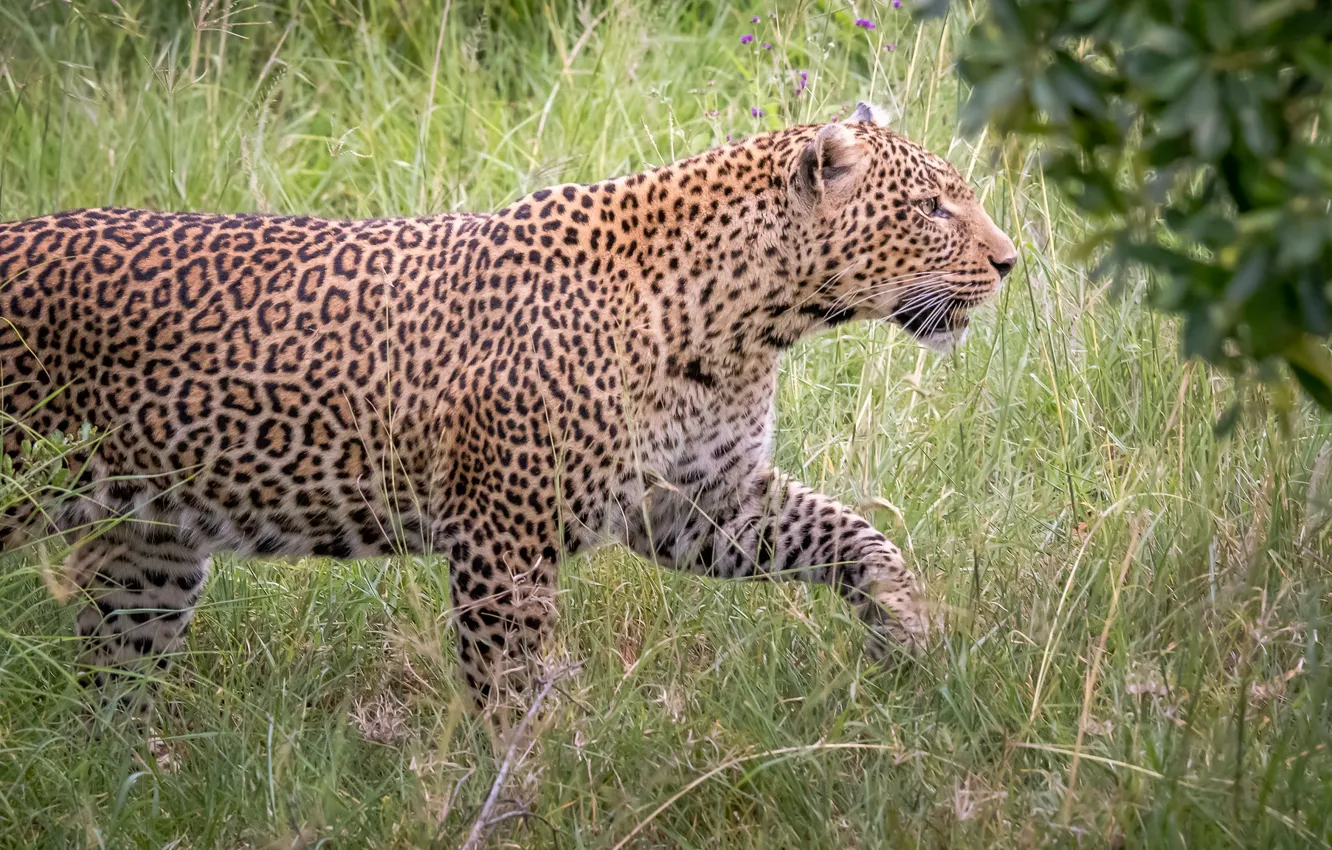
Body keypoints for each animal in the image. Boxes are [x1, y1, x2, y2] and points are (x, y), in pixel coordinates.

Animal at [0, 102, 1017, 718]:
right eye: (933, 208)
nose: (1012, 262)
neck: (747, 324)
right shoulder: (503, 535)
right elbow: (511, 687)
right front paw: (528, 785)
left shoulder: (702, 503)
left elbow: (856, 535)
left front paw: (907, 633)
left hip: (148, 550)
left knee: (116, 685)